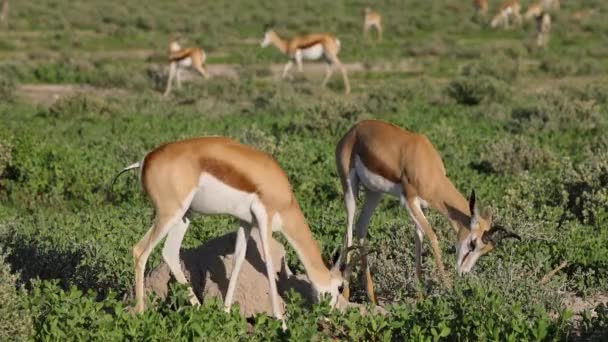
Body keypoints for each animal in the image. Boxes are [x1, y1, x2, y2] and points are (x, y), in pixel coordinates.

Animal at [114, 138, 350, 330]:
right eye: (339, 287)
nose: (330, 315)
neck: (284, 196)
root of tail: (145, 159)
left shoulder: (245, 222)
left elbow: (237, 261)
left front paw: (226, 313)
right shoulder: (264, 219)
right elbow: (267, 265)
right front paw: (282, 322)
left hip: (184, 216)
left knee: (169, 253)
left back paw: (201, 311)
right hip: (169, 214)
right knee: (140, 250)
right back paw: (141, 314)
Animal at [334, 120, 520, 302]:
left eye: (485, 251)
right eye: (473, 243)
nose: (463, 273)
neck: (426, 166)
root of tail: (354, 130)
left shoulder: (422, 206)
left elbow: (419, 239)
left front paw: (421, 298)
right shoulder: (408, 201)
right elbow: (432, 237)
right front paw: (449, 289)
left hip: (374, 193)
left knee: (361, 227)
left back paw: (372, 298)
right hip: (350, 189)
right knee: (349, 229)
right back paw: (346, 293)